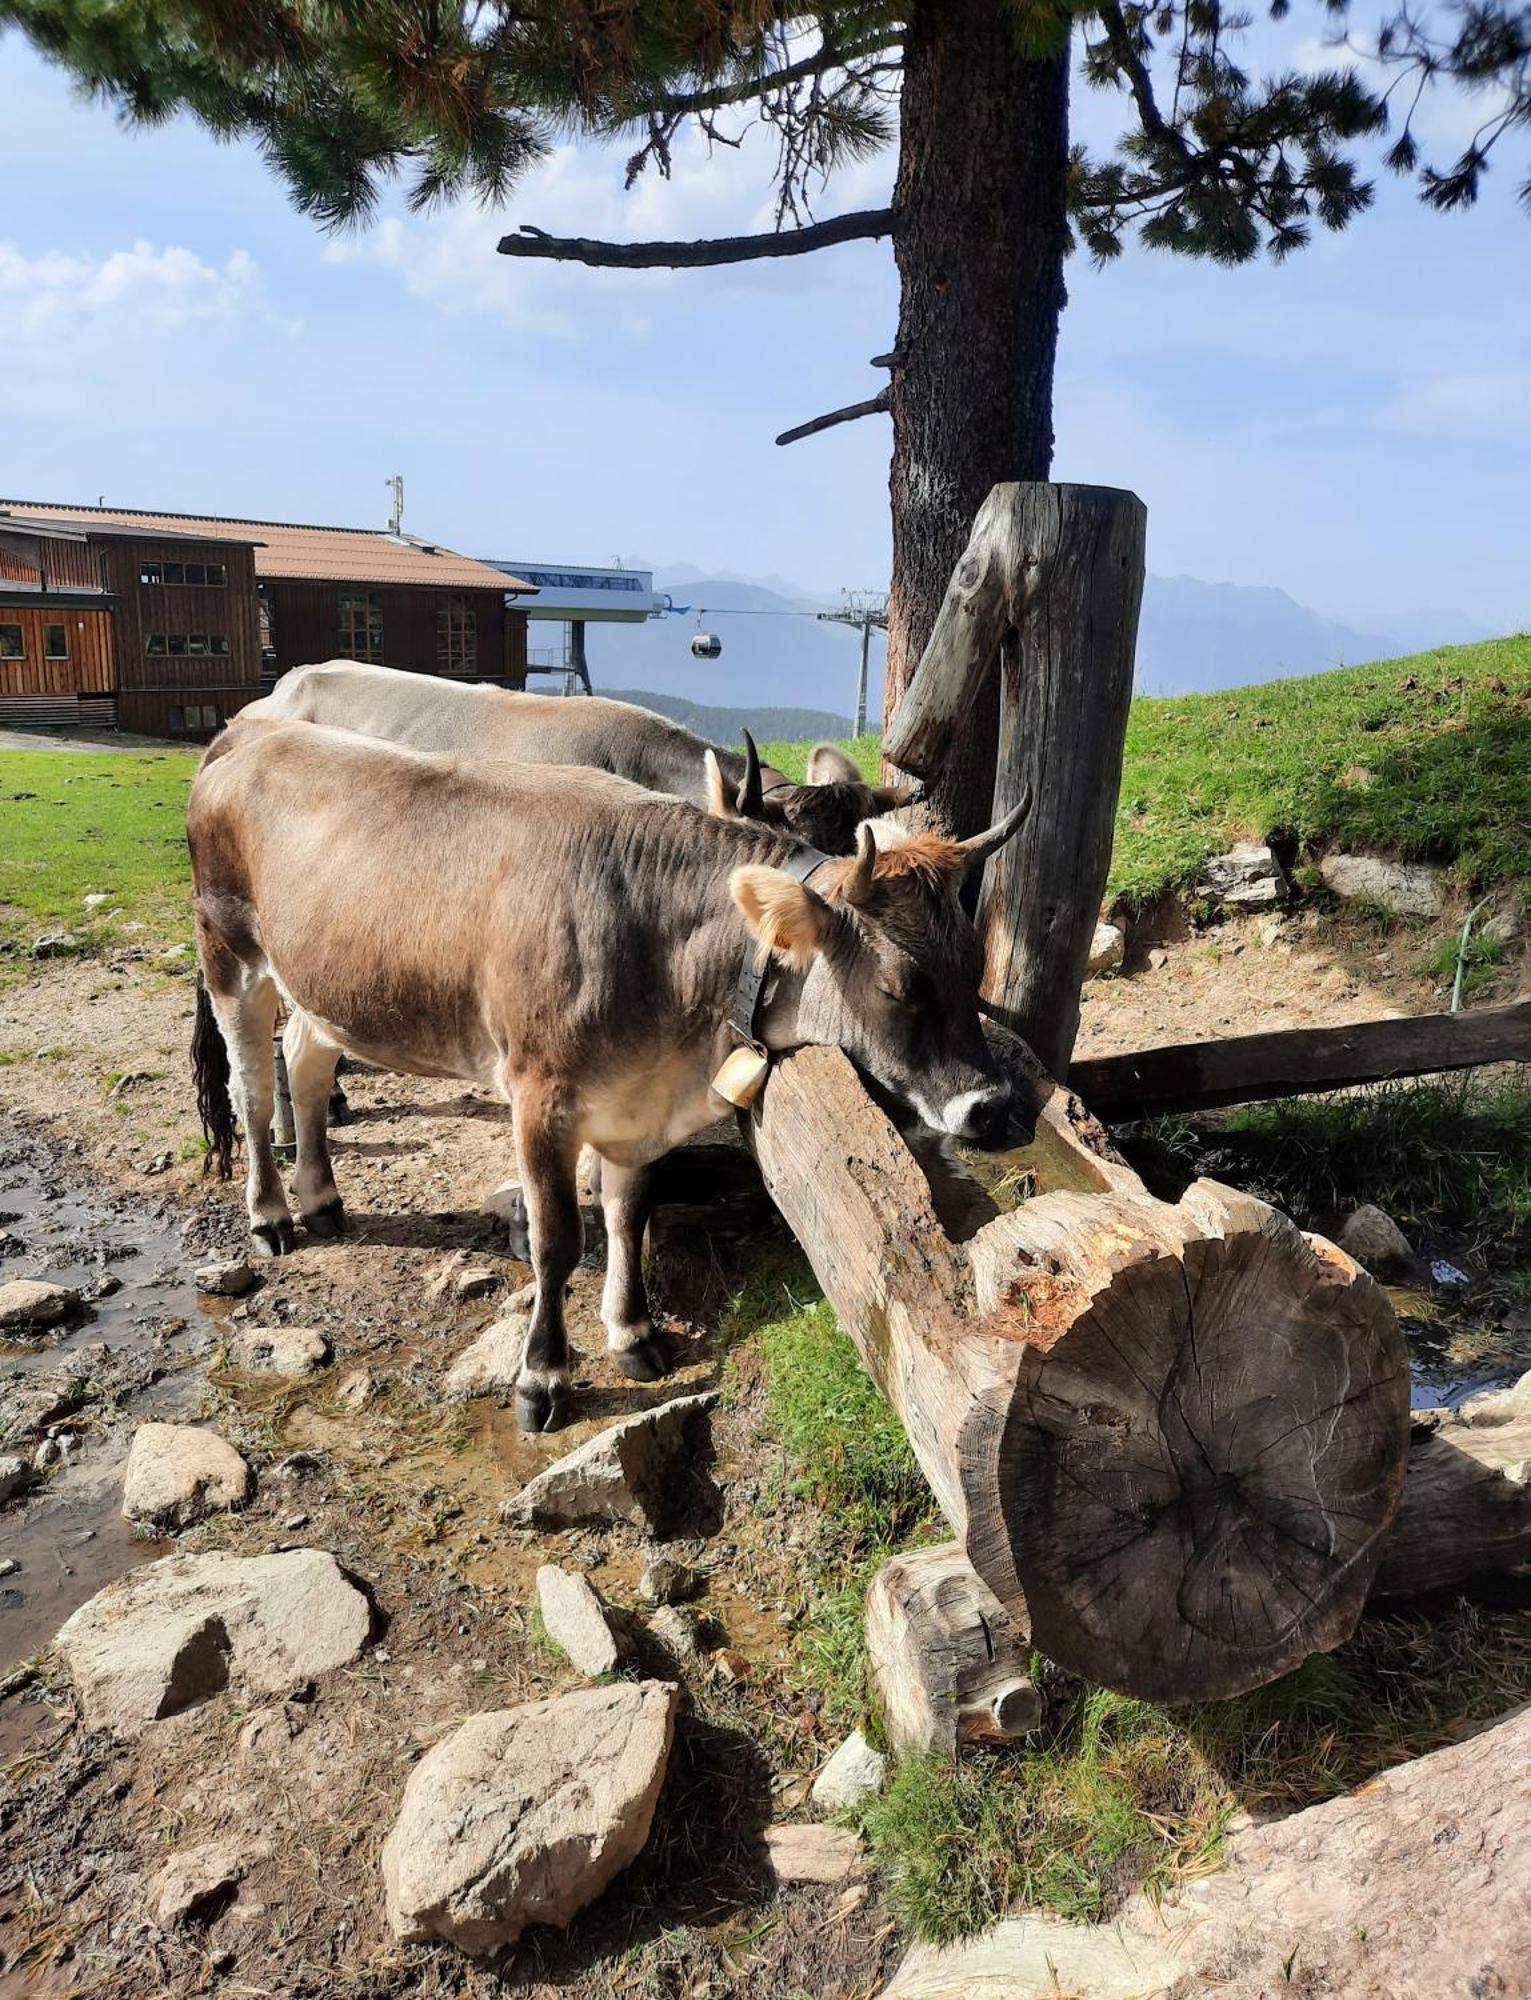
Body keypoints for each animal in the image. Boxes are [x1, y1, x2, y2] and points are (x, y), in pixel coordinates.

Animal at [191, 720, 1031, 1440]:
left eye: (971, 965)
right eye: (899, 985)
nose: (990, 1108)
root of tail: (252, 731)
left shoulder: (635, 1104)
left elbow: (629, 1215)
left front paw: (632, 1332)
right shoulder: (539, 1097)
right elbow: (558, 1241)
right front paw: (542, 1379)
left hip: (325, 985)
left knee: (305, 1060)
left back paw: (321, 1198)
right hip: (231, 957)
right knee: (252, 1087)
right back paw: (270, 1214)